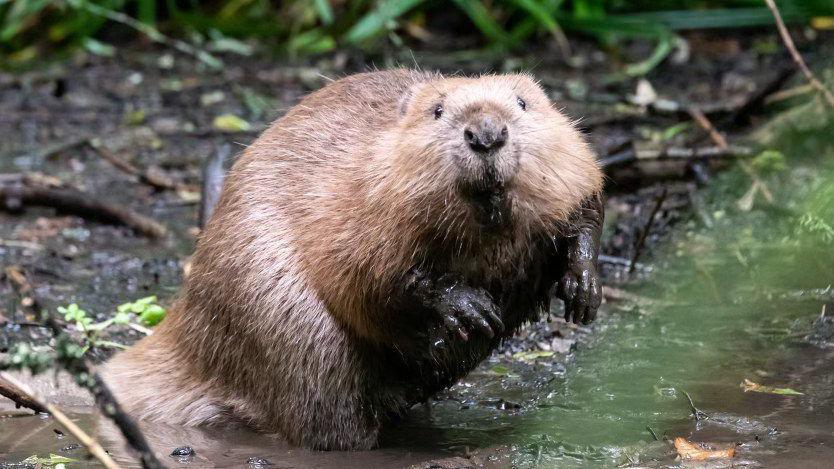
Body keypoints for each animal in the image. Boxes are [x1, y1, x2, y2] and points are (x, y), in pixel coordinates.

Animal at [99, 69, 604, 450]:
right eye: (437, 110)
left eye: (522, 102)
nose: (485, 134)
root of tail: (184, 330)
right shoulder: (358, 197)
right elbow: (369, 277)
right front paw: (471, 309)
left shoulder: (572, 168)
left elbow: (587, 211)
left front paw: (583, 290)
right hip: (286, 322)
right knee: (328, 418)